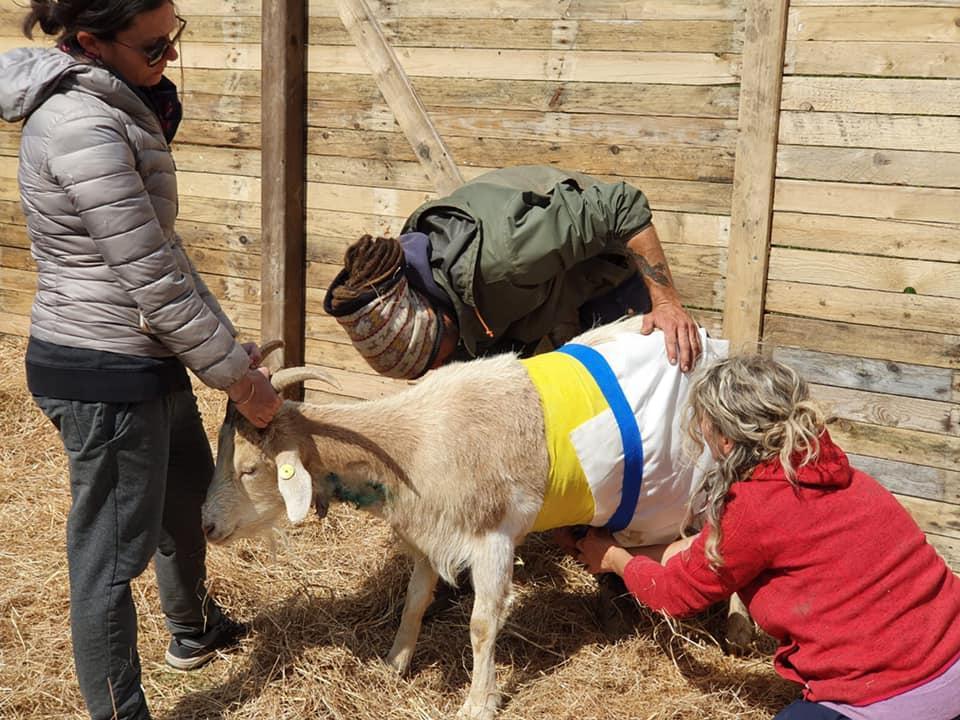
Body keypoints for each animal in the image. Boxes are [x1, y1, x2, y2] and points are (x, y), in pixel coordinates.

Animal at [202, 316, 729, 719]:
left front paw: (479, 702)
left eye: (249, 468)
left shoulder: (492, 537)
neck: (413, 441)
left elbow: (481, 623)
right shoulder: (429, 534)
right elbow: (414, 600)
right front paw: (394, 663)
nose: (207, 526)